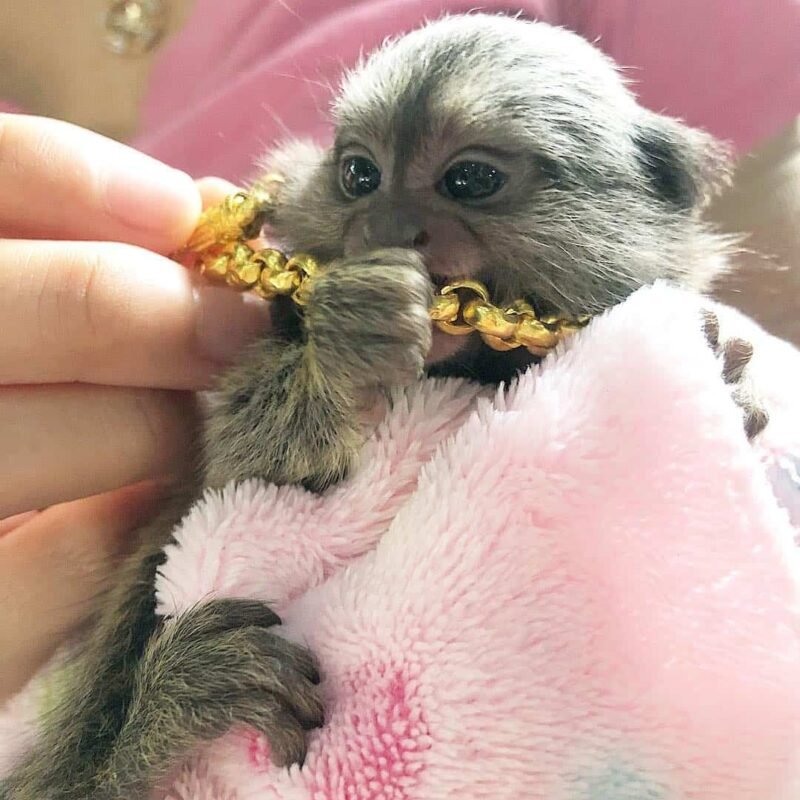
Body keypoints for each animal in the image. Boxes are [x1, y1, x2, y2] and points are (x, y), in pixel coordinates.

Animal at [1, 14, 767, 800]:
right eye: (359, 176)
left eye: (471, 180)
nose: (389, 226)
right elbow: (251, 475)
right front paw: (348, 342)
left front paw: (729, 383)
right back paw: (174, 706)